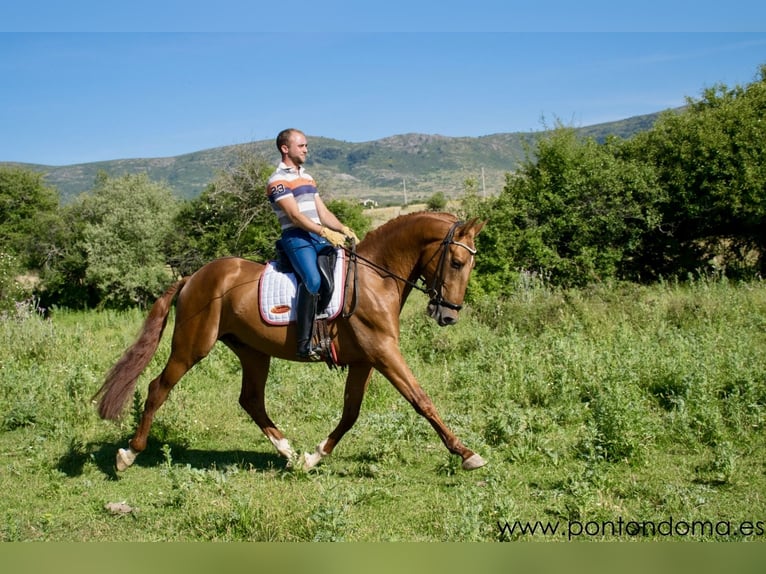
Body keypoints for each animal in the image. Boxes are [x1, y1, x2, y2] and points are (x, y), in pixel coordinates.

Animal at [94, 212, 486, 472]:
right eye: (456, 261)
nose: (448, 316)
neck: (375, 278)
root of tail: (192, 277)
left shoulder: (365, 360)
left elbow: (350, 413)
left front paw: (313, 457)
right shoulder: (383, 352)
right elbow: (421, 400)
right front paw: (467, 454)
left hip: (252, 352)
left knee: (251, 400)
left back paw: (289, 453)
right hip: (192, 347)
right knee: (157, 388)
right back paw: (128, 454)